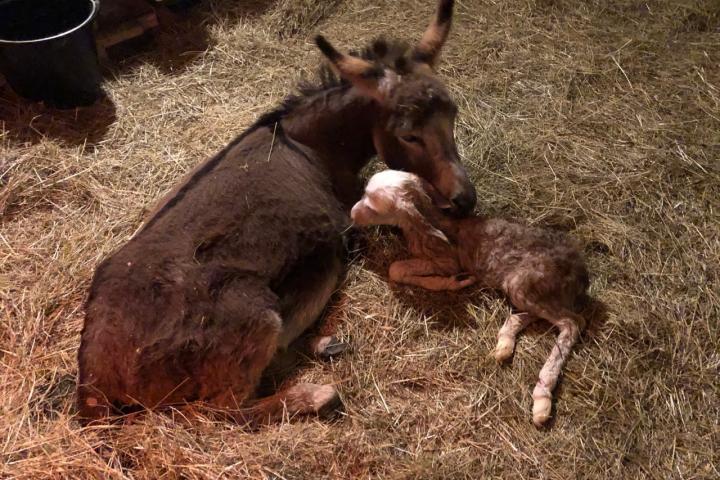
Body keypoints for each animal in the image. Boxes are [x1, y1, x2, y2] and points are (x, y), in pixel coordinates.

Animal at [350, 171, 592, 426]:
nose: (352, 214)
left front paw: (451, 282)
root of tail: (580, 273)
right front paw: (456, 282)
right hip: (523, 286)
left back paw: (542, 395)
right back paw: (505, 343)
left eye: (373, 206)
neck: (427, 224)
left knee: (573, 323)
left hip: (527, 283)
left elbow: (395, 269)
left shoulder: (447, 261)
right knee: (535, 314)